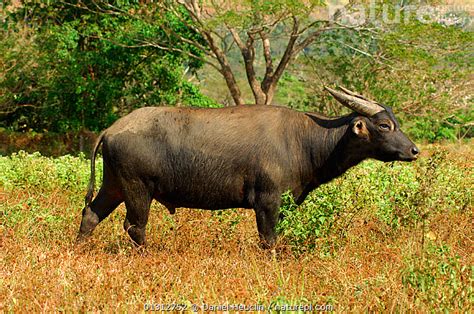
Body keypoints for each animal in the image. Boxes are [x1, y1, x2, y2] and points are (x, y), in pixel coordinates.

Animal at [78, 86, 418, 248]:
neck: (304, 140)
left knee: (91, 214)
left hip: (114, 186)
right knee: (134, 226)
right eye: (385, 126)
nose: (414, 150)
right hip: (137, 189)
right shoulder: (267, 201)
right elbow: (269, 239)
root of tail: (111, 129)